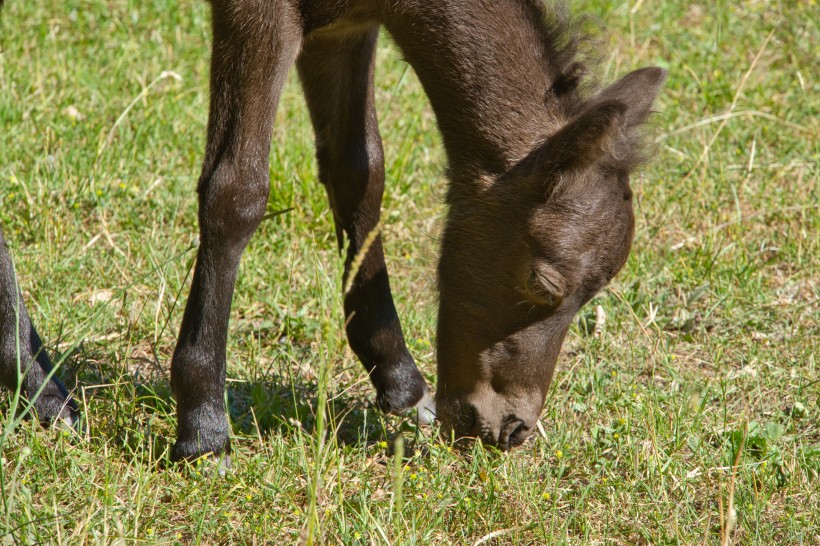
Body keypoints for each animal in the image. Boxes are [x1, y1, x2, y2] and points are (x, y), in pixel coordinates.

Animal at [0, 0, 664, 460]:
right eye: (543, 283)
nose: (507, 428)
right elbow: (236, 192)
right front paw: (203, 425)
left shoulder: (343, 24)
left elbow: (359, 168)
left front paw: (401, 384)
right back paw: (42, 392)